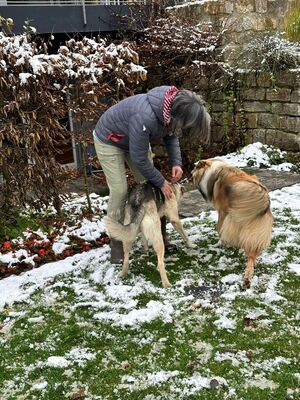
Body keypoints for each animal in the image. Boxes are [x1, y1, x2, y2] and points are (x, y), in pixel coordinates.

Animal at [192, 159, 274, 288]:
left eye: (195, 168)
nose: (190, 173)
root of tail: (264, 202)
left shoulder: (223, 211)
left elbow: (219, 228)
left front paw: (219, 243)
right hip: (255, 231)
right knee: (252, 256)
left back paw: (246, 279)